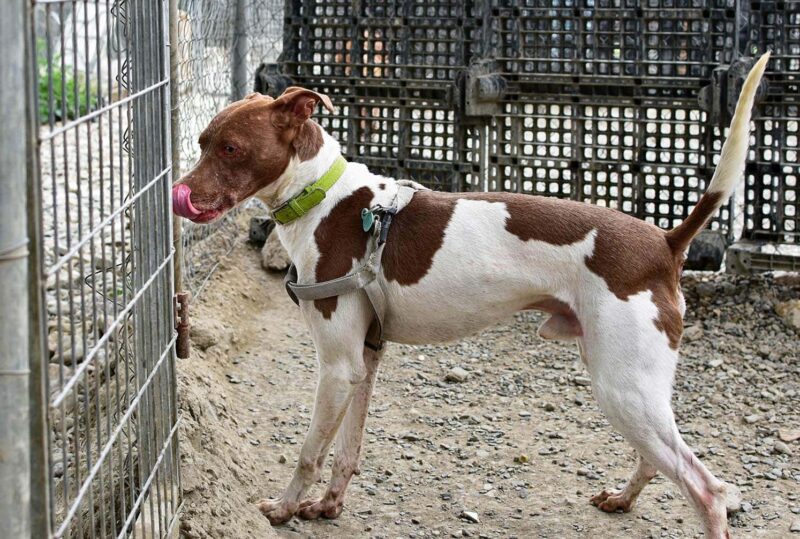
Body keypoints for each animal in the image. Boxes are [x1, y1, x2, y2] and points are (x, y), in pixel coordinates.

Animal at [172, 53, 772, 536]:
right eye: (201, 143)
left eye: (231, 148)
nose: (180, 193)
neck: (323, 196)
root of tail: (664, 241)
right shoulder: (365, 358)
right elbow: (347, 451)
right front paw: (328, 506)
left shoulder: (338, 366)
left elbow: (309, 453)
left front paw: (285, 508)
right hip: (625, 381)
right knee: (657, 457)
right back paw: (622, 499)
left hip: (622, 384)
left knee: (708, 489)